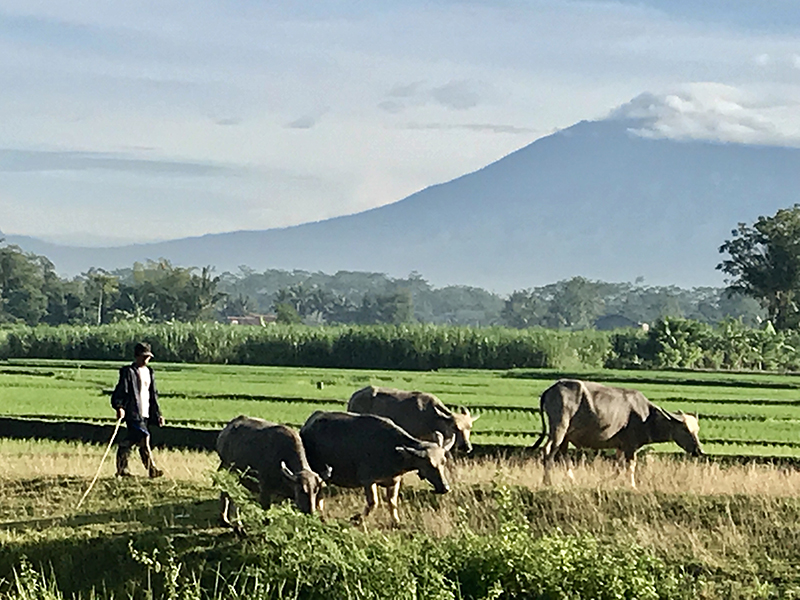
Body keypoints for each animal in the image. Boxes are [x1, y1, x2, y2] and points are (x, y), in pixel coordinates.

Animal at [300, 410, 454, 524]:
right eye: (429, 464)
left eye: (443, 462)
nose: (445, 488)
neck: (392, 451)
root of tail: (306, 427)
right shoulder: (368, 480)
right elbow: (374, 502)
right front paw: (357, 518)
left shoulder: (394, 481)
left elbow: (392, 502)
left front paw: (396, 521)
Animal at [536, 380, 704, 488]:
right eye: (685, 429)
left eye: (696, 430)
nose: (699, 451)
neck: (646, 416)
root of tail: (550, 390)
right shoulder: (630, 446)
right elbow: (631, 466)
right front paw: (632, 485)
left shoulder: (620, 447)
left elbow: (619, 468)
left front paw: (607, 481)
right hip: (559, 427)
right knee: (549, 450)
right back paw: (547, 481)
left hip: (565, 436)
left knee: (563, 454)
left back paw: (571, 480)